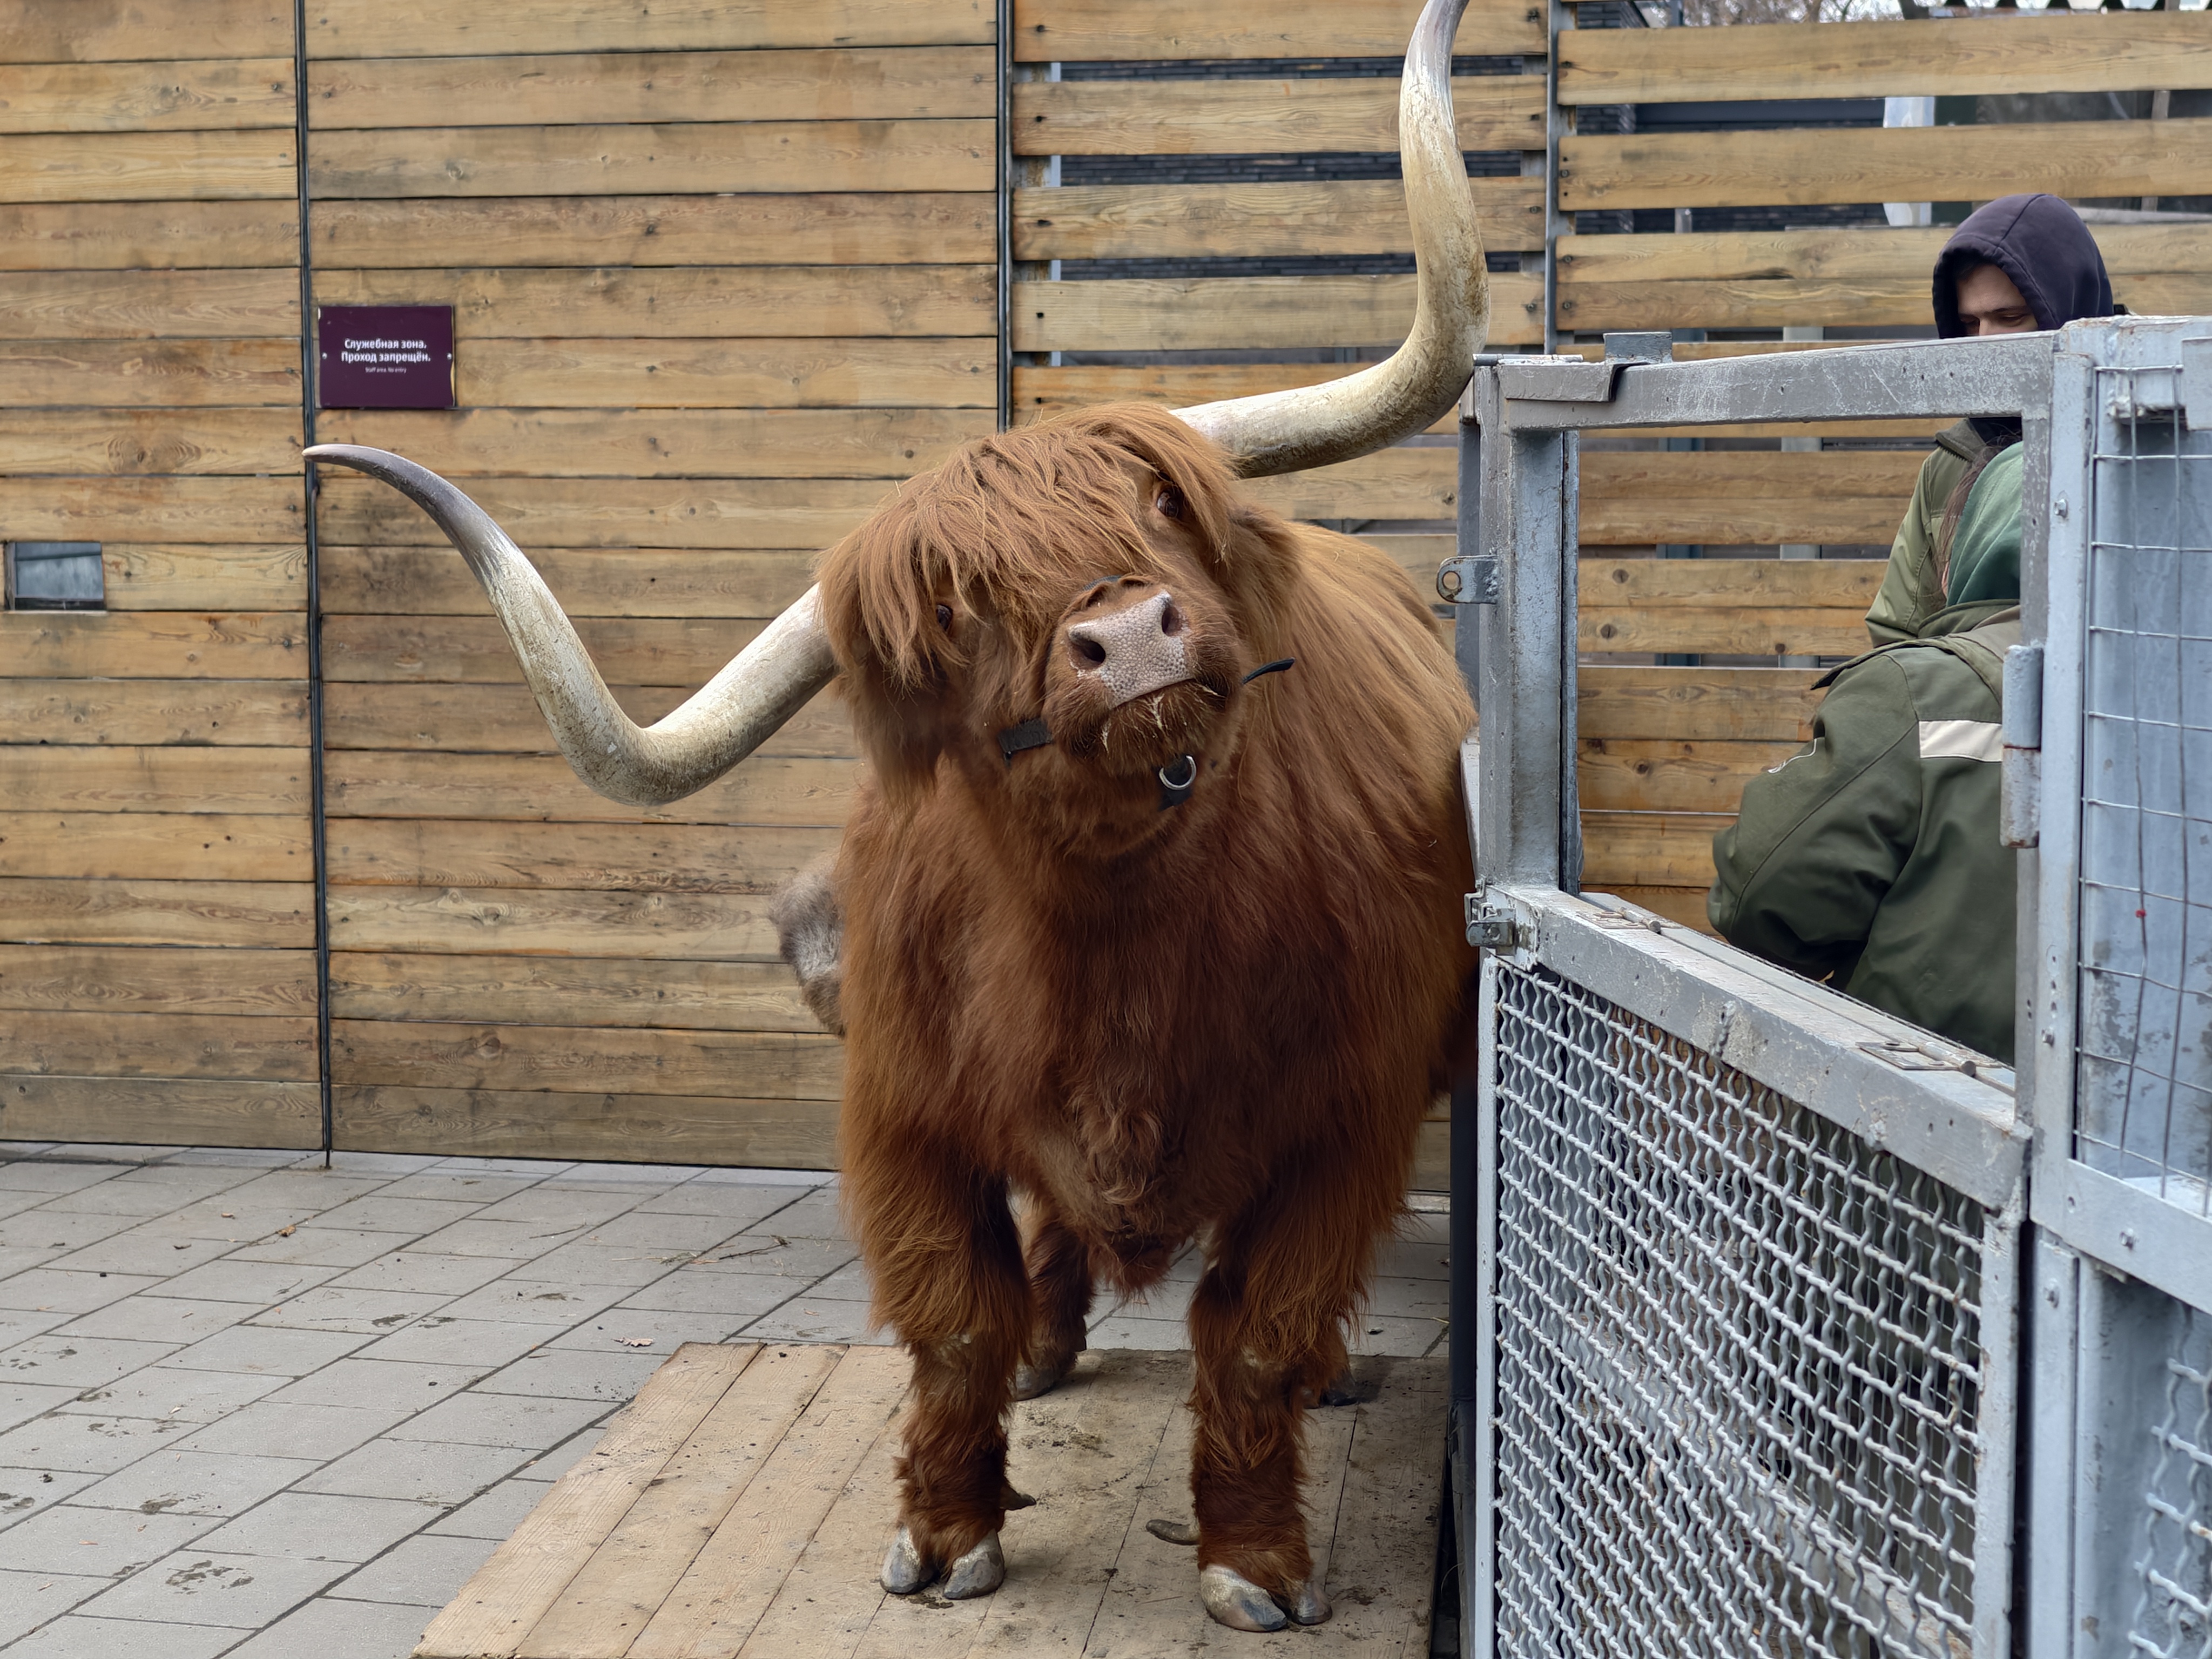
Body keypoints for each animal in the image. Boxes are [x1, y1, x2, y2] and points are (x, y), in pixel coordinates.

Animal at [306, 0, 1488, 1632]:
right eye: (955, 611)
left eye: (1157, 510)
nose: (1132, 637)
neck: (1120, 951)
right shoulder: (906, 1109)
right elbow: (950, 1319)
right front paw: (943, 1536)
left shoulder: (1346, 1122)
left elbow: (1255, 1327)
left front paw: (1256, 1563)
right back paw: (1054, 1348)